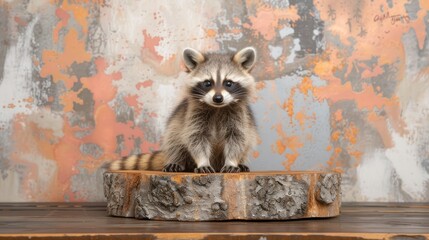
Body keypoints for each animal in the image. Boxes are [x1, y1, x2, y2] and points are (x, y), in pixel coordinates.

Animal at [109, 46, 258, 172]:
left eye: (228, 83)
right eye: (207, 83)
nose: (218, 98)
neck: (217, 108)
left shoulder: (239, 116)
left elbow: (238, 139)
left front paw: (232, 161)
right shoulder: (193, 115)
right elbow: (195, 139)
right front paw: (203, 161)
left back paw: (240, 164)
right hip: (176, 125)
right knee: (174, 141)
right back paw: (177, 161)